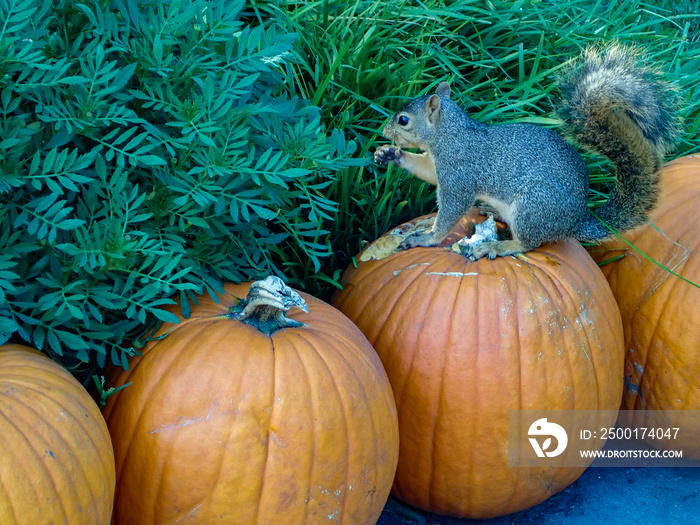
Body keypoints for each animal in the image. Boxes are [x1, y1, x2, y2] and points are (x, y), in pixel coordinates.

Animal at [374, 43, 680, 260]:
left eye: (404, 120)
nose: (384, 131)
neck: (450, 134)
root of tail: (575, 221)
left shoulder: (458, 173)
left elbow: (451, 210)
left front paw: (427, 238)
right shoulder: (440, 165)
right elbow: (426, 171)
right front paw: (390, 154)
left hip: (534, 206)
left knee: (529, 243)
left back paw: (497, 247)